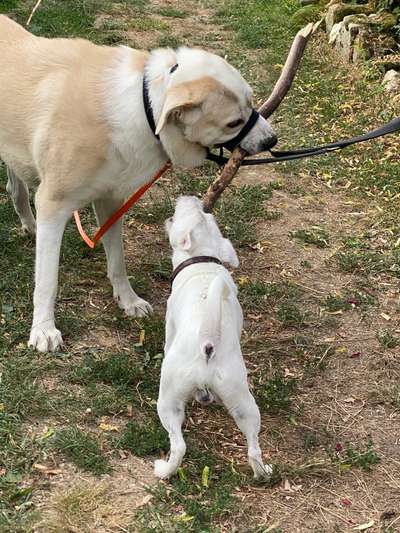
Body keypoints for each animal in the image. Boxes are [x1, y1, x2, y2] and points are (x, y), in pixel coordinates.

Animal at [0, 14, 276, 352]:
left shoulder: (109, 202)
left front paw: (128, 300)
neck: (143, 105)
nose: (271, 140)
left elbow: (117, 261)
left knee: (16, 187)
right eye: (233, 123)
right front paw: (43, 329)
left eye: (251, 103)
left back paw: (29, 224)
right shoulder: (53, 206)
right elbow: (47, 283)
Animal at [153, 197, 272, 480]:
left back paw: (163, 470)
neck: (203, 260)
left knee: (178, 445)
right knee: (254, 448)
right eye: (207, 216)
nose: (193, 198)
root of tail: (208, 342)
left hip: (168, 401)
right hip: (244, 404)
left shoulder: (170, 324)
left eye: (186, 211)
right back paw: (263, 473)